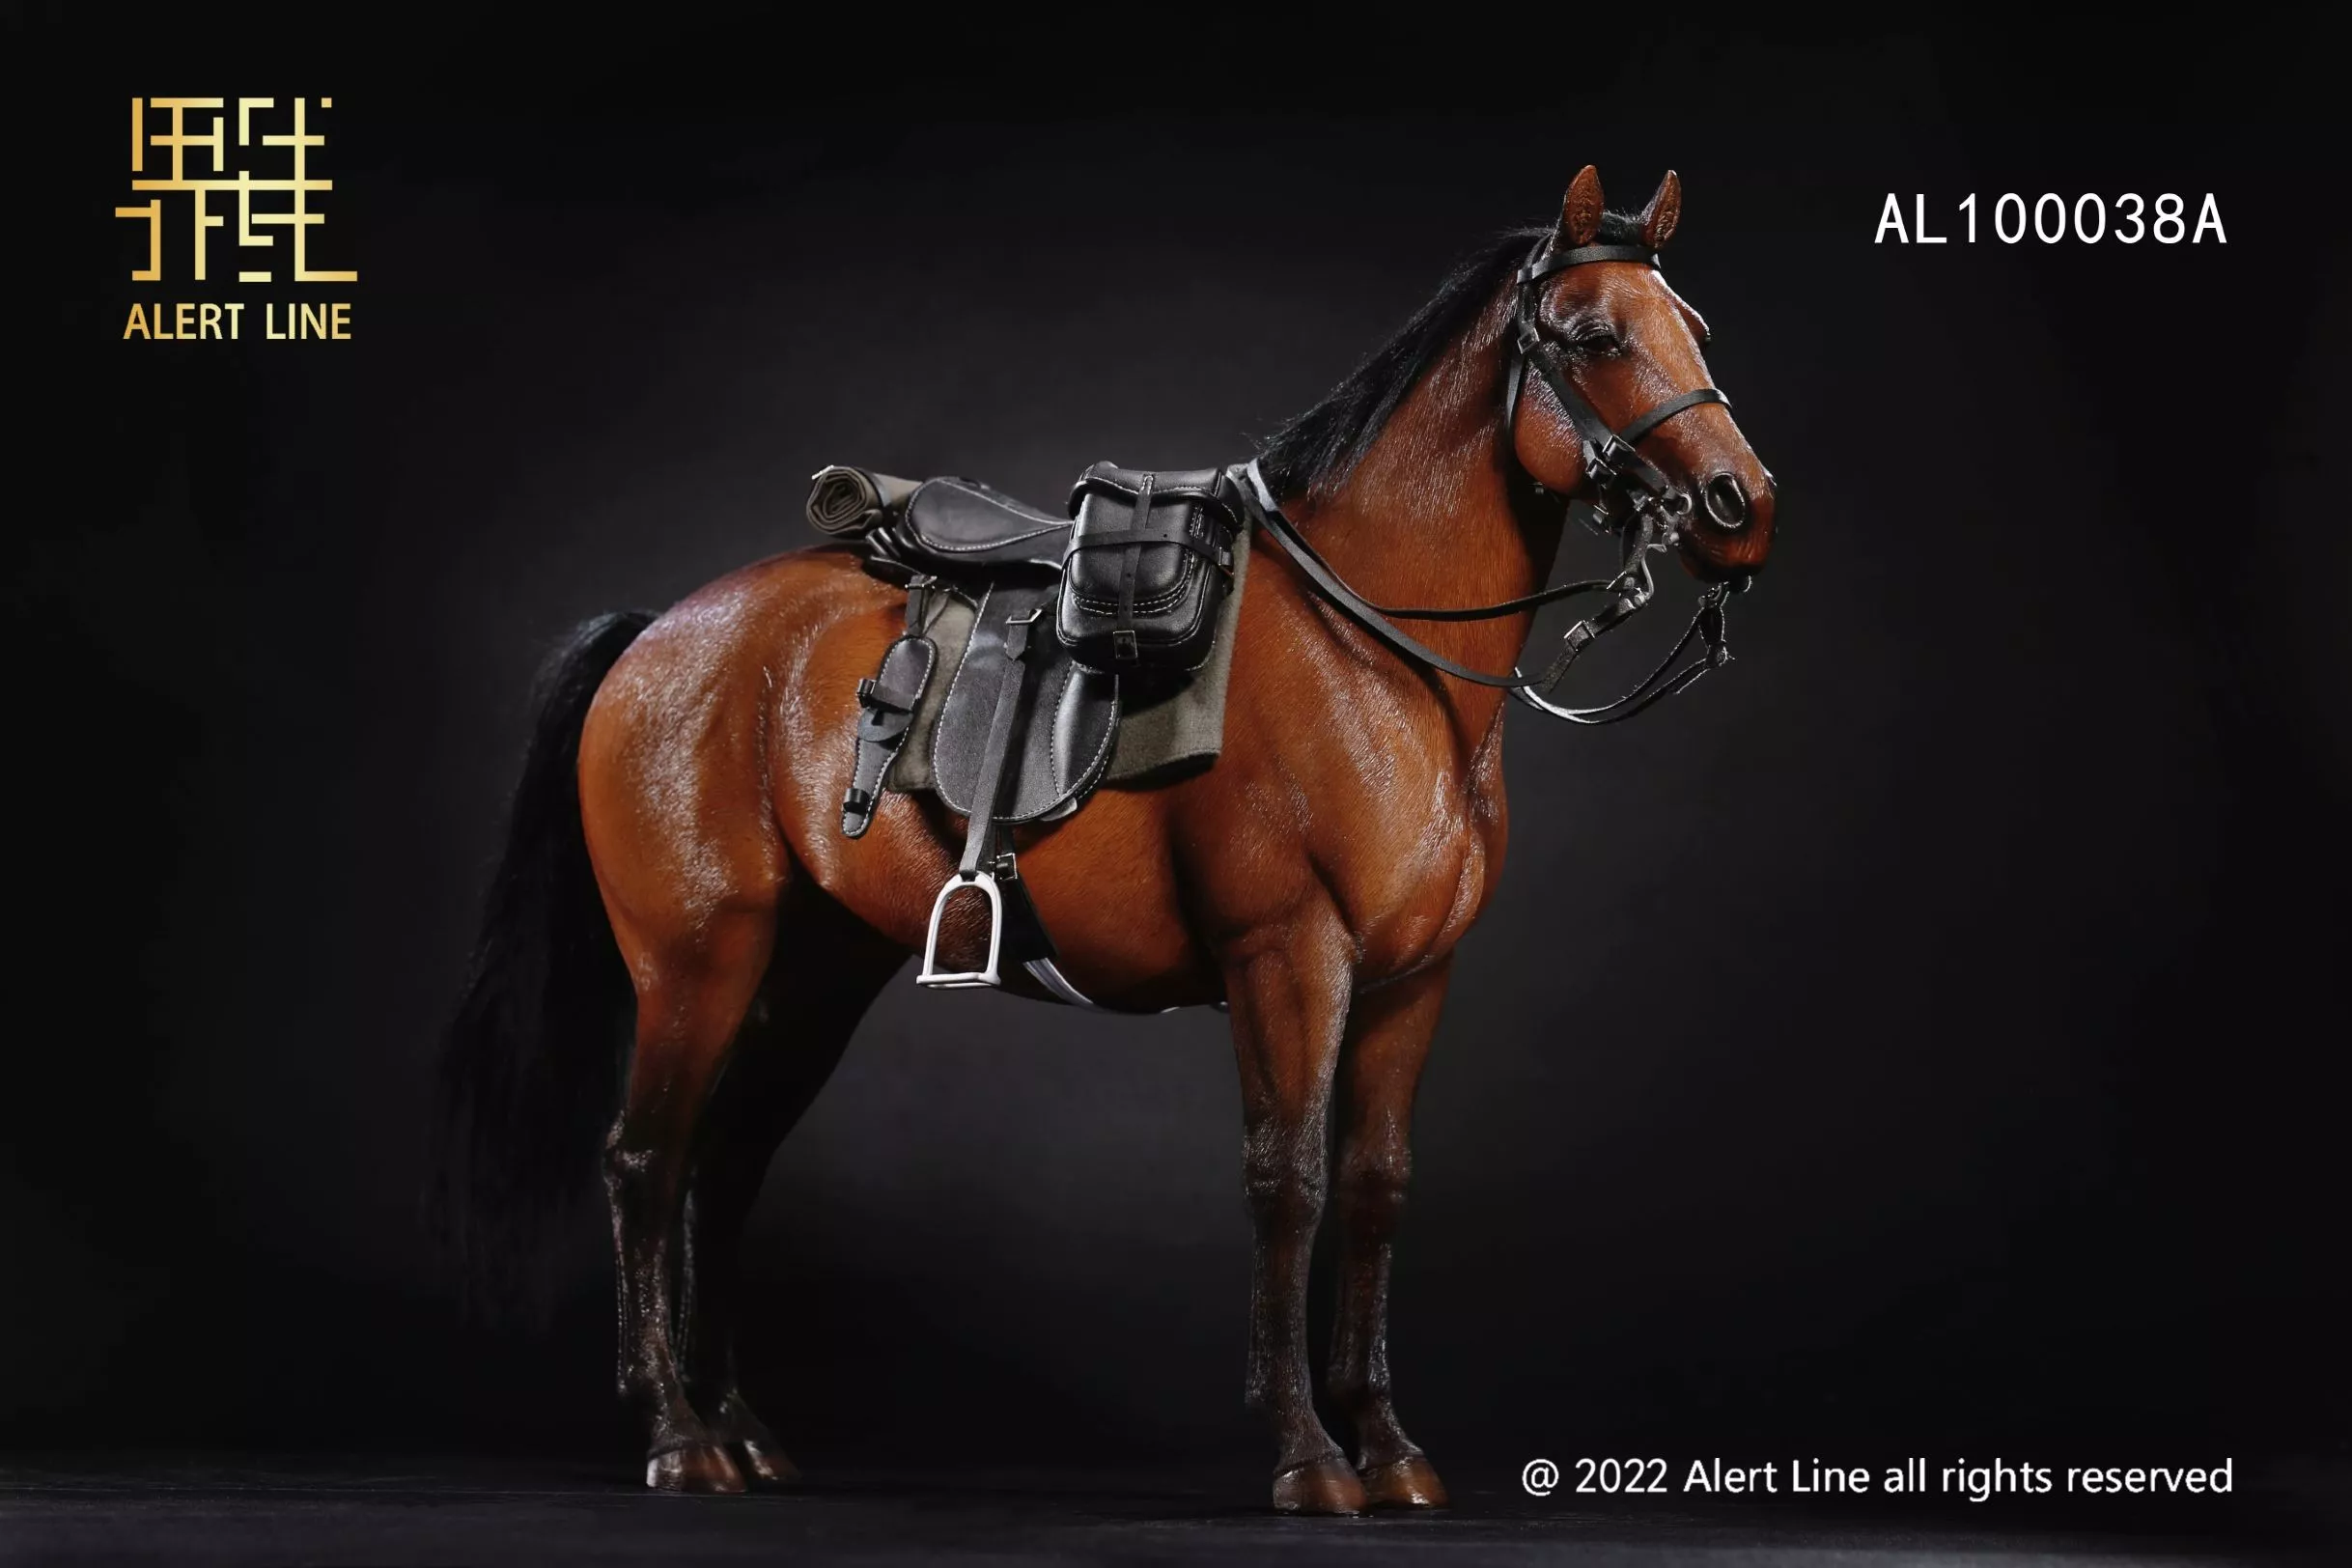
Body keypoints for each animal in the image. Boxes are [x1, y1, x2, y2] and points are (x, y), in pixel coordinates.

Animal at [434, 164, 1776, 1514]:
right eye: (1595, 336)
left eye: (1697, 328)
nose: (1743, 507)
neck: (1378, 655)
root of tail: (661, 631)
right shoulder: (1287, 961)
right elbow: (1288, 1181)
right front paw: (1307, 1452)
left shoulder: (1412, 982)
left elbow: (1375, 1187)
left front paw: (1386, 1443)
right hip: (695, 963)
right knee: (646, 1161)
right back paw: (678, 1431)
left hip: (808, 977)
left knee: (727, 1161)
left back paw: (743, 1426)